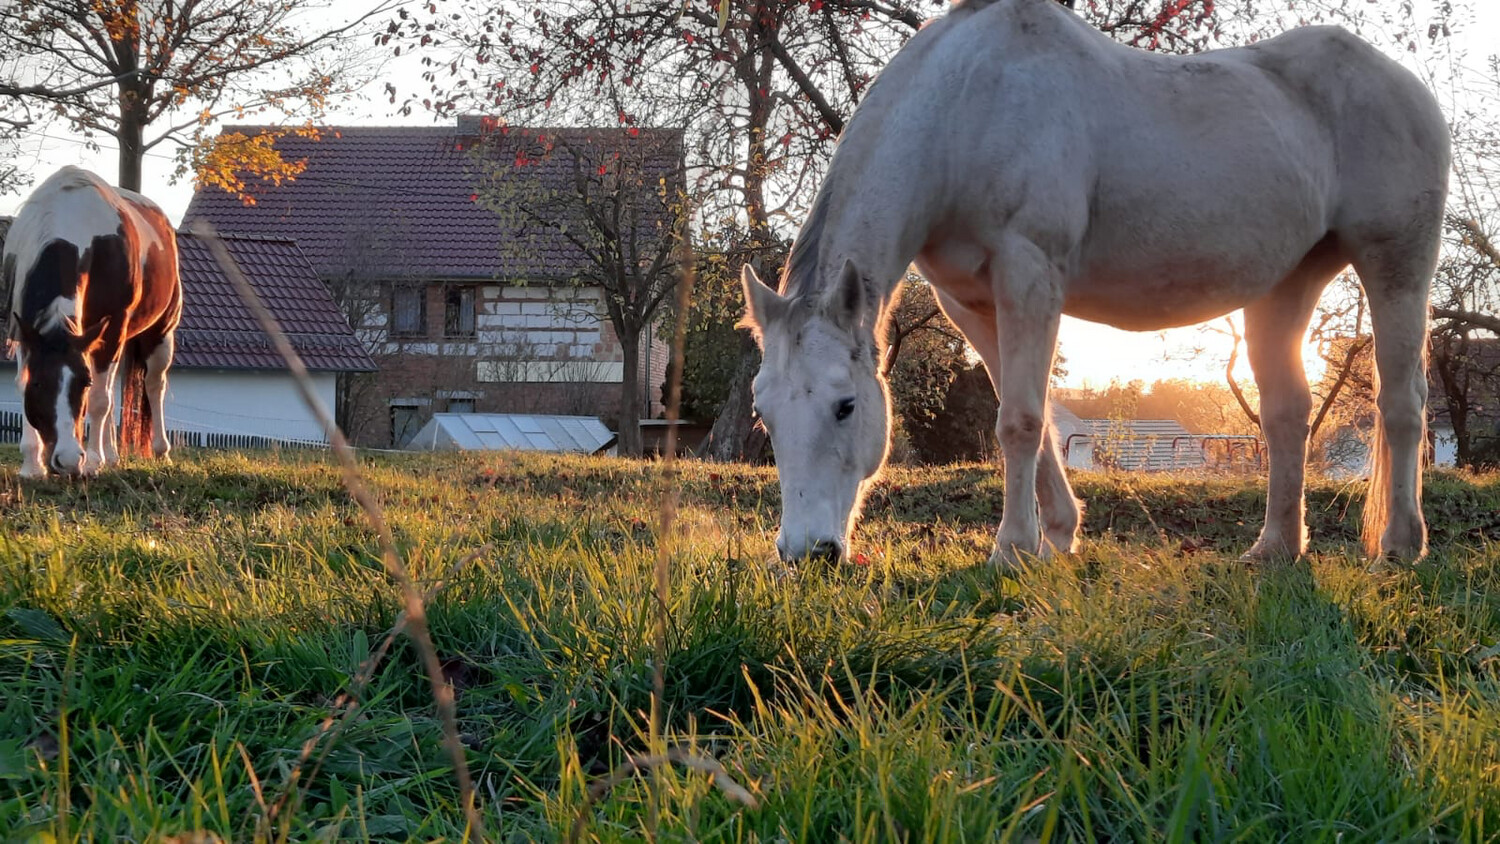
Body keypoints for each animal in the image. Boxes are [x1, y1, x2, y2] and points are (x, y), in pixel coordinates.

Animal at [3, 168, 181, 479]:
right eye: (38, 383)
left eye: (82, 383)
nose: (68, 460)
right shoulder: (26, 329)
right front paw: (32, 465)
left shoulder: (113, 328)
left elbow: (99, 399)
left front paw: (93, 462)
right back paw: (111, 455)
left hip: (159, 333)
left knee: (153, 384)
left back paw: (160, 451)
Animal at [744, 0, 1446, 572]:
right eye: (765, 414)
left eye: (846, 406)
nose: (808, 553)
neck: (969, 105)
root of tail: (1409, 85)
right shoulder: (971, 303)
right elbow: (1030, 418)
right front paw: (1056, 534)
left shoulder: (1030, 277)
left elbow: (1020, 421)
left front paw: (1012, 549)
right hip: (1286, 285)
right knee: (1286, 414)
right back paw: (1275, 549)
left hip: (1397, 269)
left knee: (1401, 404)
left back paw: (1400, 545)